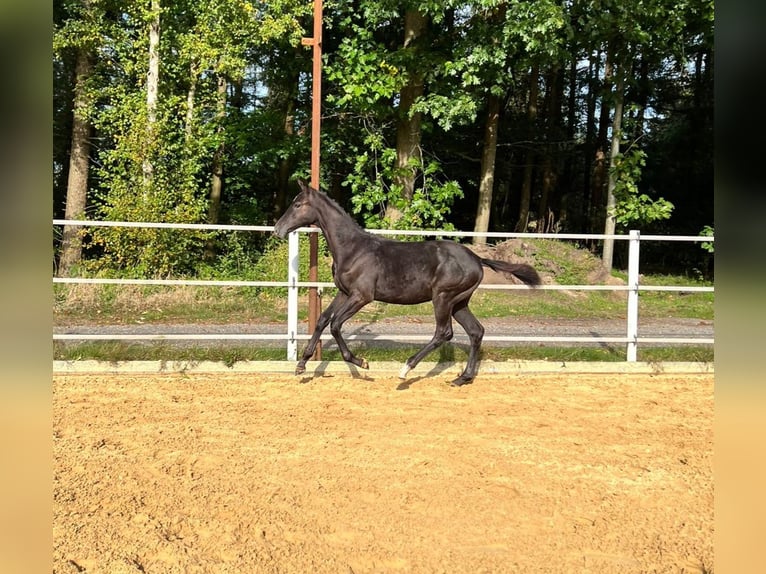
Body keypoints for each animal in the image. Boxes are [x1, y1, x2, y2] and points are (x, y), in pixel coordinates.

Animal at [272, 180, 544, 388]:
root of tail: (477, 259)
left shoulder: (362, 296)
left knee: (444, 332)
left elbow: (336, 324)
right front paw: (301, 364)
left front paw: (361, 362)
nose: (277, 229)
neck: (353, 249)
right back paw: (462, 378)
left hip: (443, 297)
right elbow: (322, 320)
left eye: (297, 204)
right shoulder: (344, 292)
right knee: (476, 331)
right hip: (459, 302)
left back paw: (406, 370)